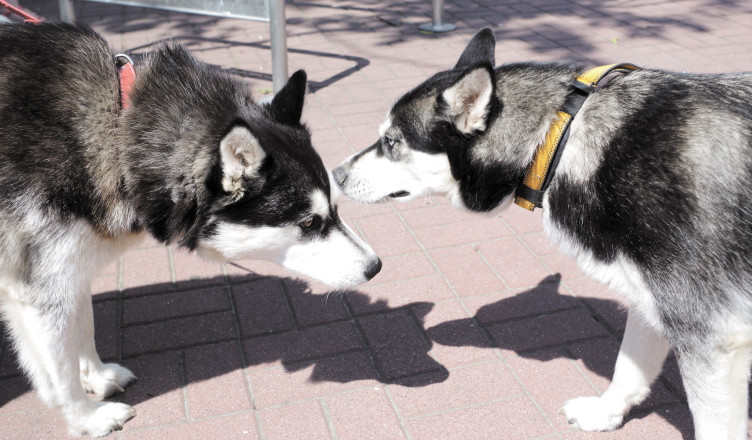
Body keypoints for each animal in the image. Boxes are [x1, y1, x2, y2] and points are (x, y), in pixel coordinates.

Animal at [0, 22, 381, 437]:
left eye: (335, 208)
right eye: (309, 222)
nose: (375, 267)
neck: (119, 128)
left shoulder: (66, 267)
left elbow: (82, 327)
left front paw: (96, 377)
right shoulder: (38, 288)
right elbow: (60, 371)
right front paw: (86, 417)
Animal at [334, 27, 752, 440]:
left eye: (391, 142)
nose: (335, 173)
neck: (560, 136)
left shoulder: (708, 335)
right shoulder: (657, 303)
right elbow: (628, 368)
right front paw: (605, 414)